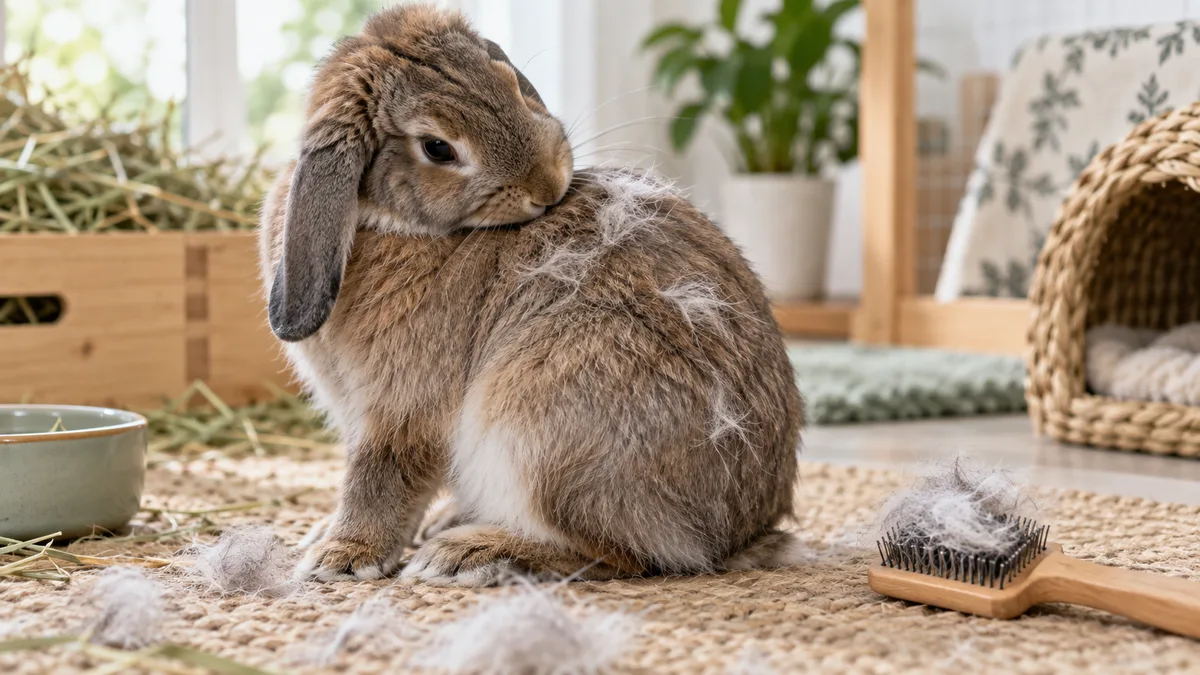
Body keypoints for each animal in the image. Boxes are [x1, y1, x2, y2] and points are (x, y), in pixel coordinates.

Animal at [260, 3, 803, 586]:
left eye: (509, 82)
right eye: (437, 147)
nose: (549, 184)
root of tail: (738, 534)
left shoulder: (401, 410)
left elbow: (382, 478)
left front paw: (340, 557)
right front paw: (324, 539)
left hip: (538, 436)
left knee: (622, 555)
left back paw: (470, 554)